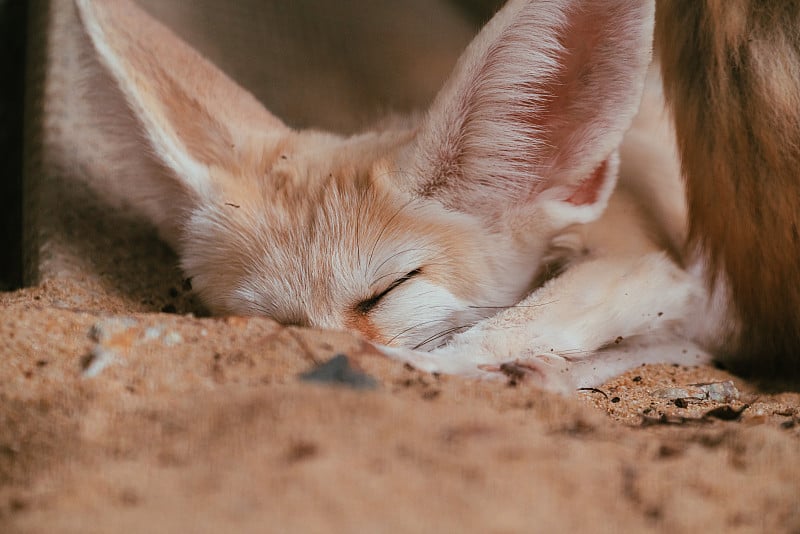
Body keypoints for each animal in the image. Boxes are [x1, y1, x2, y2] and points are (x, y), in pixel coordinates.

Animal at [76, 0, 800, 394]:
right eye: (267, 324)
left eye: (389, 290)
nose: (319, 352)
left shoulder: (651, 265)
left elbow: (497, 328)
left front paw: (415, 359)